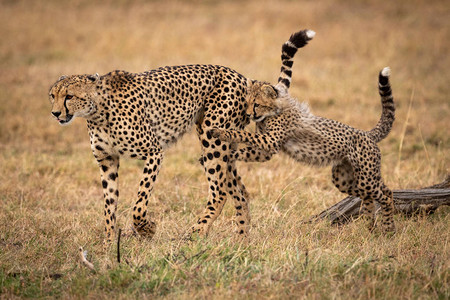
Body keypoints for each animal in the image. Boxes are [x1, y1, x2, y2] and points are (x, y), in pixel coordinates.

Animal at [48, 63, 255, 244]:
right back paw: (242, 240)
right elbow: (109, 206)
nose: (55, 113)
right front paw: (108, 245)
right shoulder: (107, 160)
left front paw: (147, 229)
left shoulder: (154, 152)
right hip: (223, 147)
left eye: (69, 96)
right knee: (241, 193)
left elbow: (139, 203)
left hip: (212, 138)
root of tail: (239, 76)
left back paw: (197, 231)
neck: (98, 112)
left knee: (220, 192)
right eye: (52, 95)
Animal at [211, 30, 398, 232]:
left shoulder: (270, 140)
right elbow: (246, 149)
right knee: (369, 195)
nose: (247, 114)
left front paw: (220, 132)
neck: (273, 111)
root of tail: (367, 134)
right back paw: (369, 226)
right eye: (246, 103)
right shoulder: (266, 148)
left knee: (386, 193)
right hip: (344, 179)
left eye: (257, 104)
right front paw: (229, 155)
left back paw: (388, 228)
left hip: (366, 177)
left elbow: (243, 134)